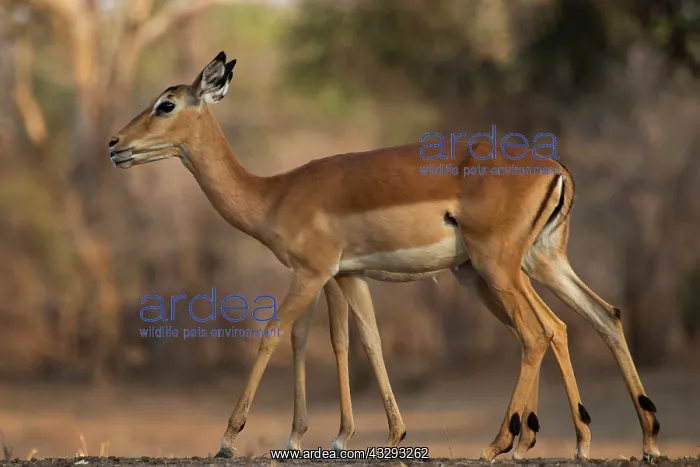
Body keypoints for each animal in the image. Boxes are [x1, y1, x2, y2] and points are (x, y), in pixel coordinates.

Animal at [109, 51, 661, 461]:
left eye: (165, 104)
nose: (115, 144)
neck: (274, 193)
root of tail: (555, 167)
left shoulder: (311, 274)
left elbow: (276, 335)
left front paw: (230, 439)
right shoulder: (344, 277)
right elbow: (355, 341)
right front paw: (359, 436)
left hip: (497, 268)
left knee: (539, 332)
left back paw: (502, 443)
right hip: (534, 264)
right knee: (597, 318)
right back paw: (629, 441)